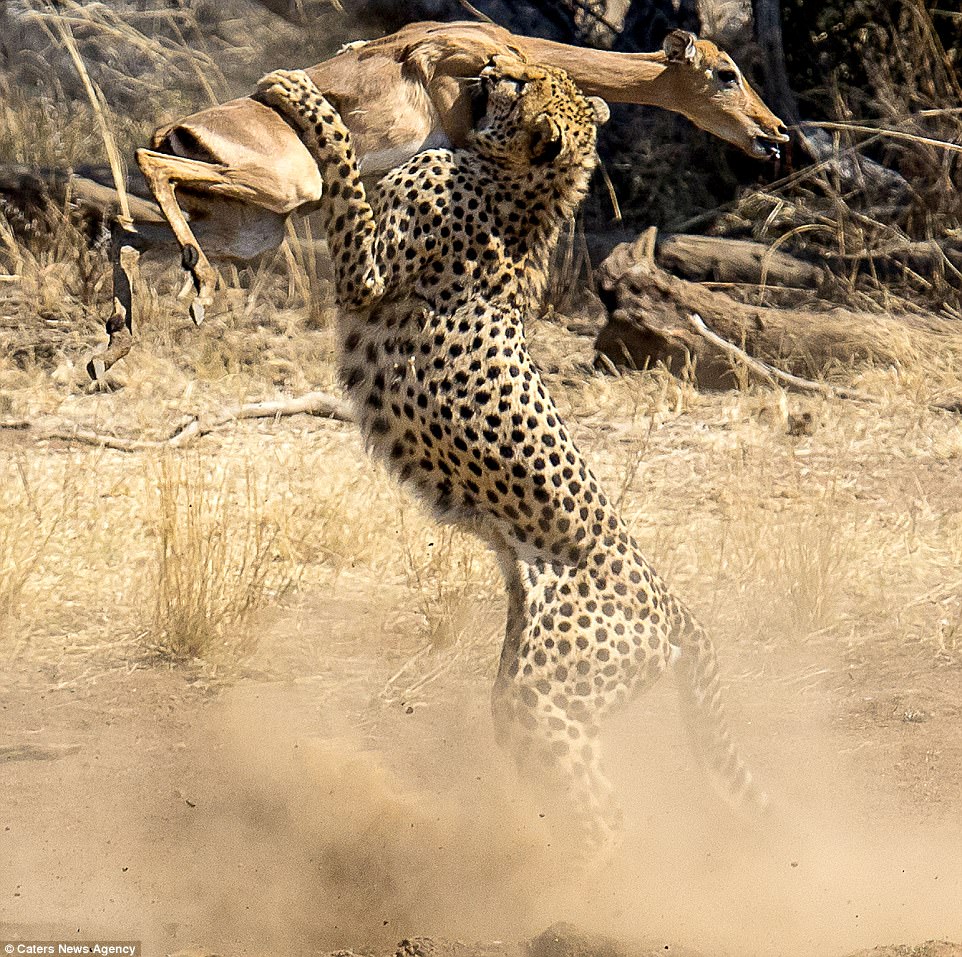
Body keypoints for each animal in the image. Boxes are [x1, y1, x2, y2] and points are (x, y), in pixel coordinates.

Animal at [255, 58, 764, 852]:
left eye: (523, 85)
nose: (493, 66)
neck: (516, 184)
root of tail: (673, 604)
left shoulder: (366, 267)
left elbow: (340, 160)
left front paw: (299, 94)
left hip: (543, 693)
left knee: (608, 819)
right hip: (525, 681)